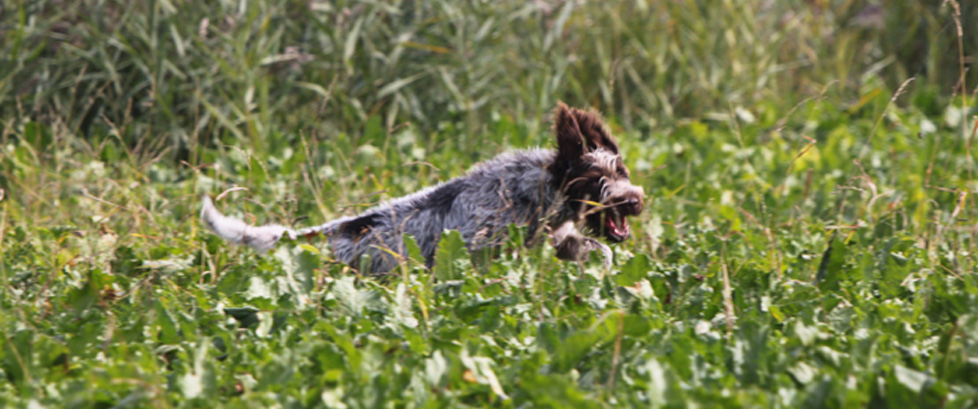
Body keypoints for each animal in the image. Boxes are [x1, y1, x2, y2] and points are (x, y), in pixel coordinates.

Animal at [200, 103, 640, 272]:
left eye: (622, 170)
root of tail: (317, 237)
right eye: (596, 181)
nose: (634, 201)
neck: (535, 193)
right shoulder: (481, 250)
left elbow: (597, 251)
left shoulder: (561, 237)